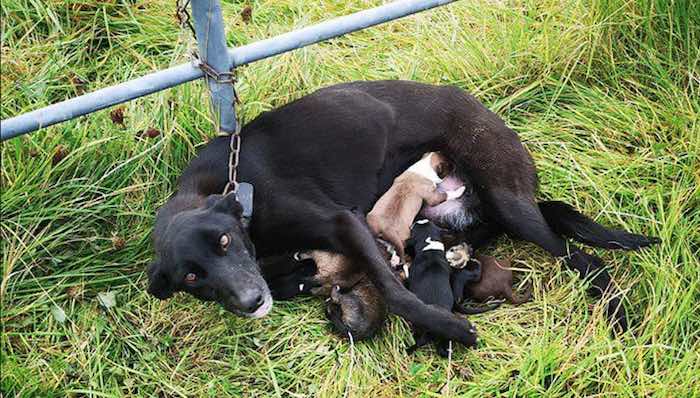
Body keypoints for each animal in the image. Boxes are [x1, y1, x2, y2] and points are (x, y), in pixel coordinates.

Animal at [146, 80, 656, 346]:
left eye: (225, 241)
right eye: (191, 278)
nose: (252, 303)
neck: (234, 192)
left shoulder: (343, 222)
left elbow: (393, 291)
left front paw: (445, 325)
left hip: (511, 202)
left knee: (585, 259)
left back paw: (617, 315)